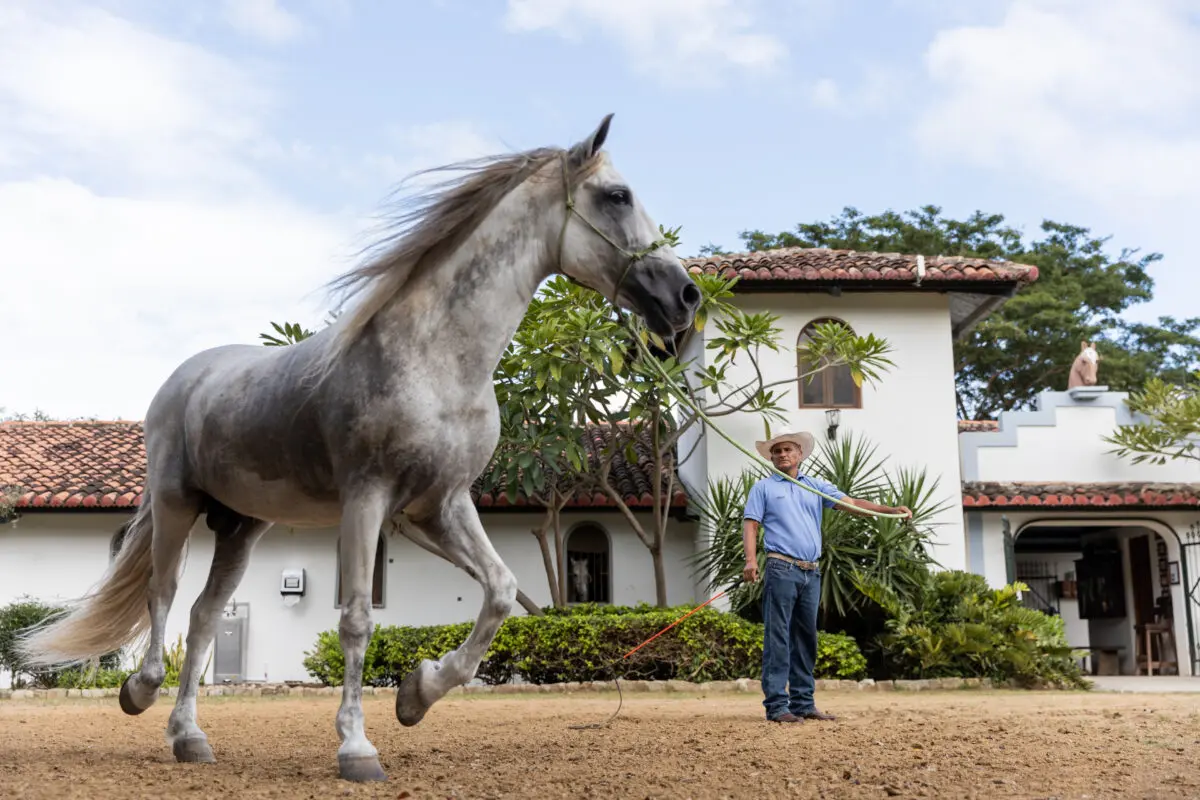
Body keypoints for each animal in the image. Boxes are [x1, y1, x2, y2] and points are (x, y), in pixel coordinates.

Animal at [15, 113, 700, 783]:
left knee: (205, 616)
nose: (685, 297)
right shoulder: (367, 500)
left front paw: (417, 694)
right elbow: (356, 619)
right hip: (176, 504)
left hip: (240, 527)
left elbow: (502, 591)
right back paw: (139, 691)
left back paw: (190, 738)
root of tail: (184, 379)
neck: (435, 359)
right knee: (162, 595)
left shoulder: (439, 506)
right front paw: (356, 748)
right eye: (618, 195)